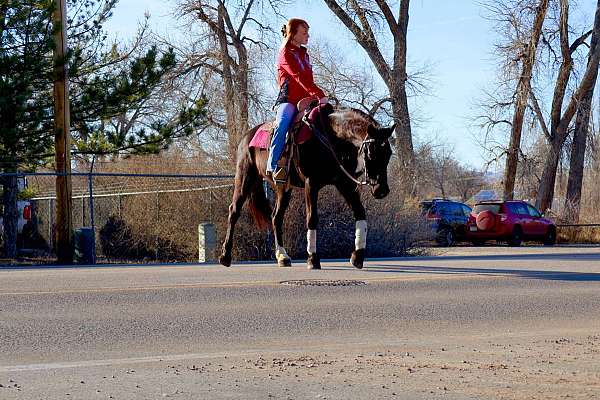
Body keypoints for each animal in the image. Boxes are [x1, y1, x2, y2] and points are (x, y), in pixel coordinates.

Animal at [218, 103, 396, 270]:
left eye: (388, 154)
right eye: (371, 153)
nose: (382, 190)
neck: (330, 138)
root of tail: (247, 136)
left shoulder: (345, 184)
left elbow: (360, 213)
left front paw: (358, 256)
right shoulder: (312, 184)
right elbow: (312, 219)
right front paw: (313, 259)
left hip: (283, 188)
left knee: (276, 217)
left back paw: (282, 256)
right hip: (244, 178)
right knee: (234, 211)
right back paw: (225, 256)